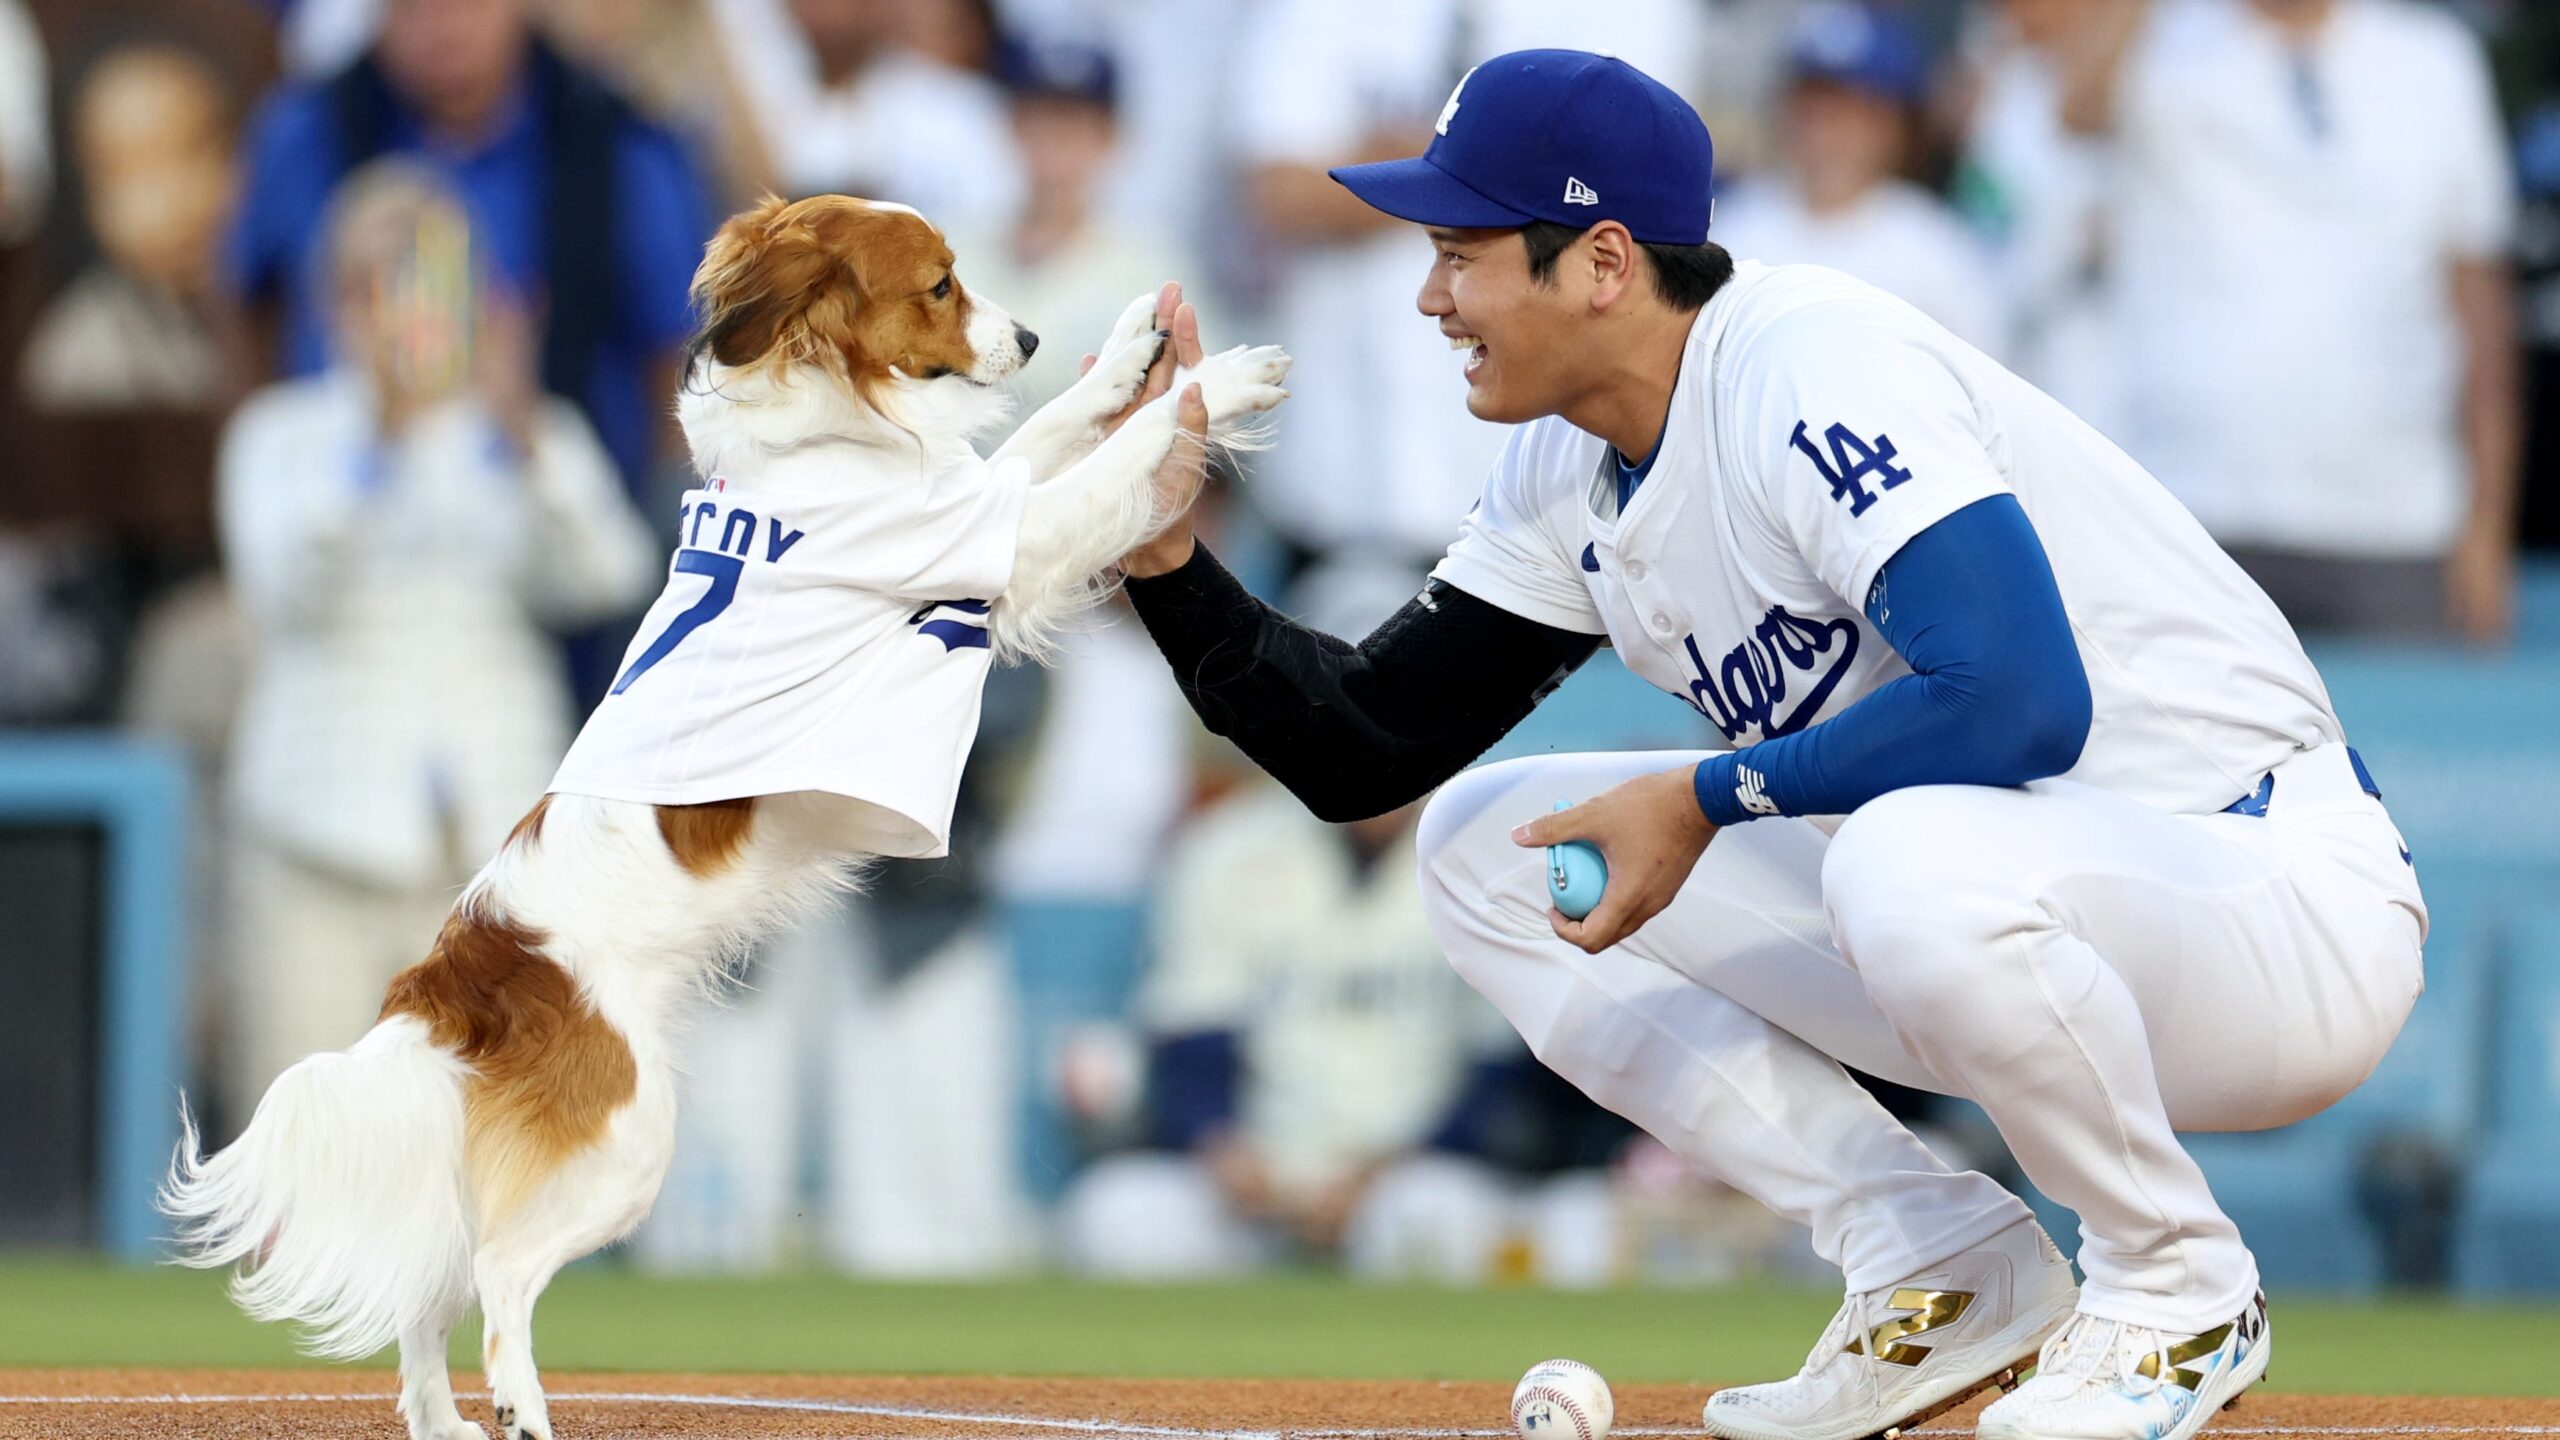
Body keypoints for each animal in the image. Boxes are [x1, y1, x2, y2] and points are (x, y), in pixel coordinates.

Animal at [157, 196, 1280, 1434]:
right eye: (940, 286)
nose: (1030, 337)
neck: (819, 432)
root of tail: (456, 976)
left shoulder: (971, 502)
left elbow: (1049, 434)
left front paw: (1133, 350)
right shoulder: (999, 536)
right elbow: (1114, 454)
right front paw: (1217, 382)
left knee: (433, 1284)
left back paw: (441, 1419)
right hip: (627, 1144)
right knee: (501, 1277)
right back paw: (521, 1408)